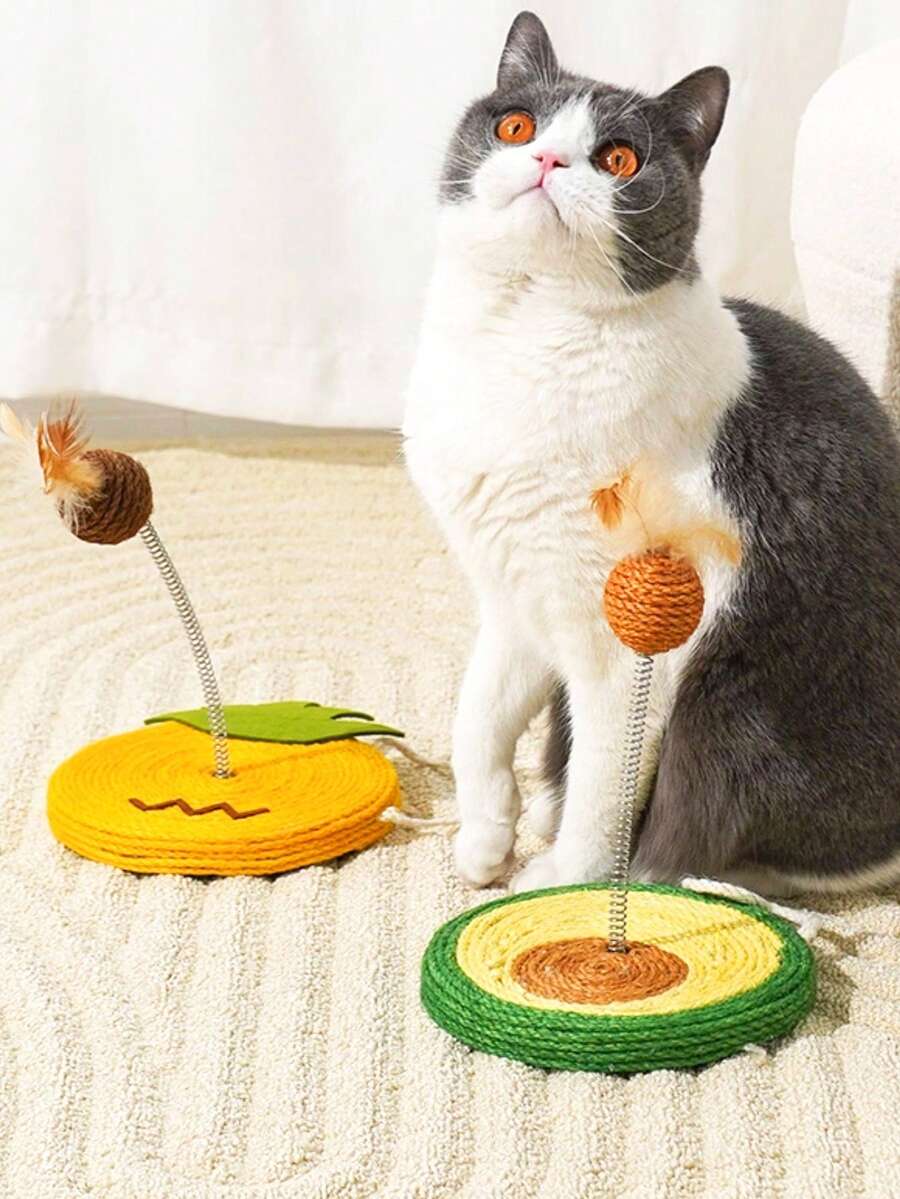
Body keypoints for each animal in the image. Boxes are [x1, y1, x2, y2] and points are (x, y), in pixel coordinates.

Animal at [403, 11, 900, 897]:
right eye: (516, 126)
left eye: (619, 160)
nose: (548, 161)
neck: (515, 333)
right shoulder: (514, 596)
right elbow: (477, 716)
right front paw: (486, 837)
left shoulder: (629, 643)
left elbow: (608, 779)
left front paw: (562, 882)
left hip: (732, 713)